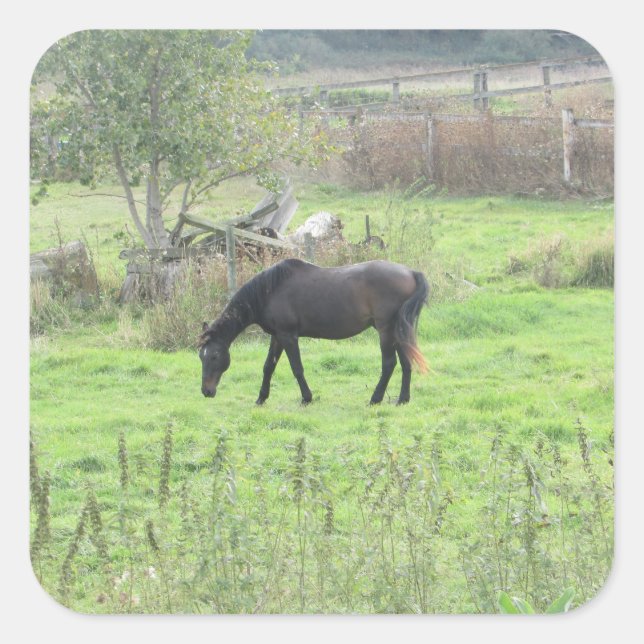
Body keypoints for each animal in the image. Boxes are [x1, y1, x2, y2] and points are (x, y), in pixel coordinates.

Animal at [198, 258, 429, 405]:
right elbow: (268, 368)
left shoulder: (288, 336)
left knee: (389, 364)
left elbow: (297, 368)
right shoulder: (277, 337)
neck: (269, 291)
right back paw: (402, 399)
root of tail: (411, 272)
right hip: (398, 331)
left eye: (215, 356)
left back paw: (375, 399)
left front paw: (307, 398)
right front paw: (261, 398)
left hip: (385, 330)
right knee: (406, 363)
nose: (206, 391)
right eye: (201, 356)